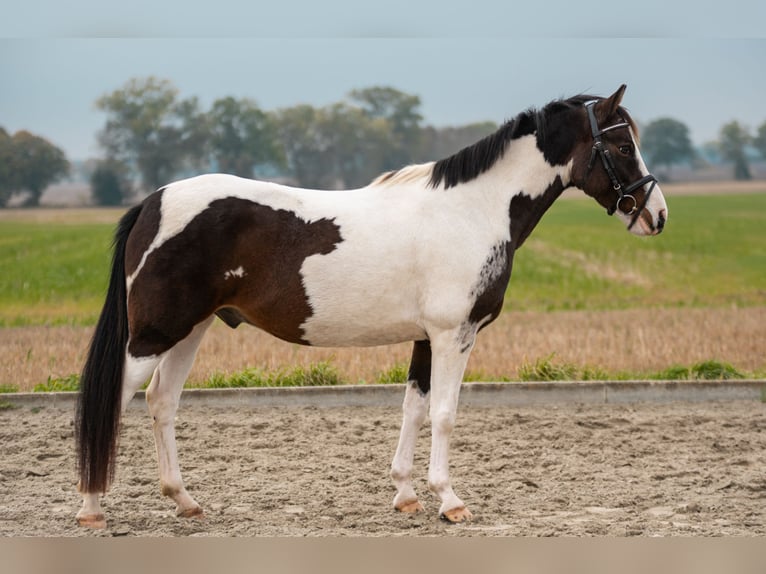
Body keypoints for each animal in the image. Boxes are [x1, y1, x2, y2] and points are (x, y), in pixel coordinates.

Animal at [75, 85, 668, 532]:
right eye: (621, 146)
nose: (656, 215)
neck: (471, 211)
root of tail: (153, 201)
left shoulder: (426, 337)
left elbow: (413, 408)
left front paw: (406, 495)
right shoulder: (455, 335)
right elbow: (445, 414)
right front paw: (450, 502)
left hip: (190, 329)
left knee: (162, 403)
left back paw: (185, 501)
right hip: (154, 334)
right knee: (116, 401)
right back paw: (92, 508)